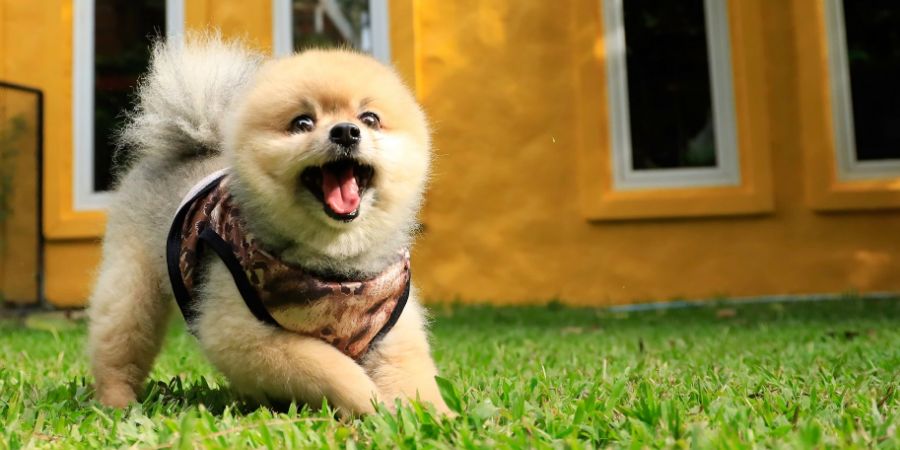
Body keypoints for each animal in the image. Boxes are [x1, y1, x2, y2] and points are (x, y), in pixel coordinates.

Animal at [85, 34, 450, 414]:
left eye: (370, 118)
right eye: (302, 123)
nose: (346, 132)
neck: (336, 267)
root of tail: (194, 146)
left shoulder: (391, 330)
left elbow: (415, 380)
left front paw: (439, 417)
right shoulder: (242, 332)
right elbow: (329, 366)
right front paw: (370, 403)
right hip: (131, 289)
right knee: (118, 347)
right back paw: (118, 403)